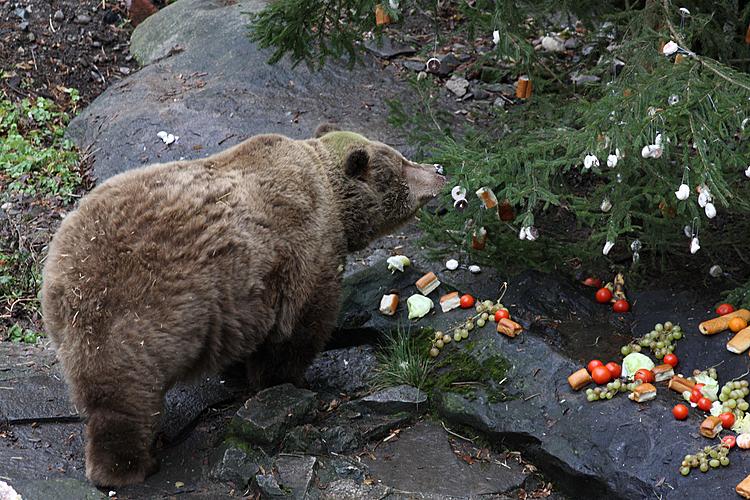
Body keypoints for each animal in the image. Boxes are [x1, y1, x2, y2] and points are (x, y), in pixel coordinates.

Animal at [42, 124, 446, 484]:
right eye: (399, 163)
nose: (438, 170)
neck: (331, 200)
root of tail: (61, 271)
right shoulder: (305, 254)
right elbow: (297, 330)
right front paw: (290, 382)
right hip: (135, 314)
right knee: (125, 397)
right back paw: (128, 467)